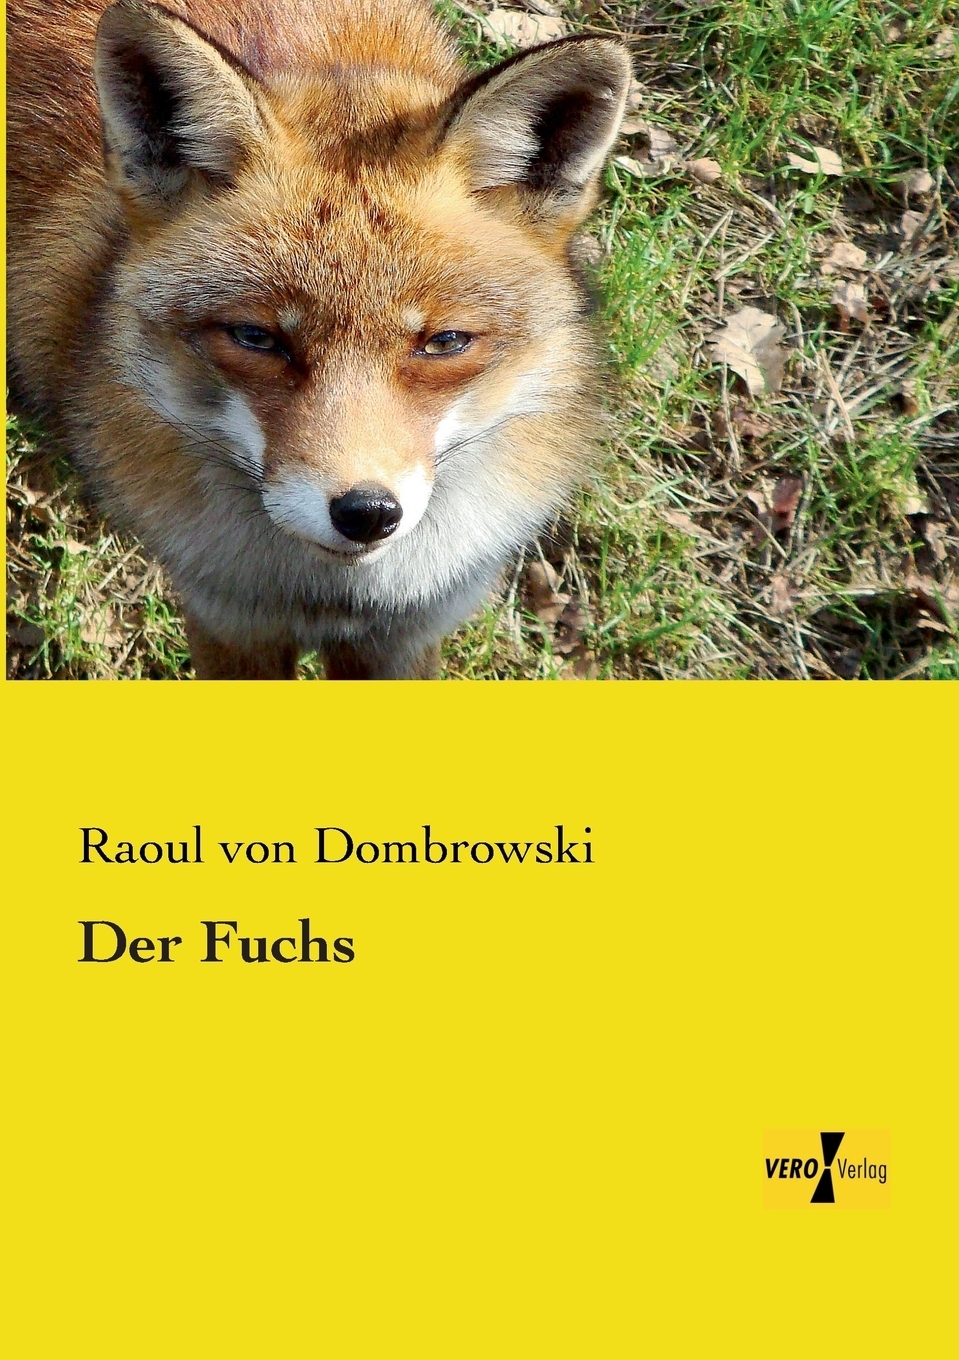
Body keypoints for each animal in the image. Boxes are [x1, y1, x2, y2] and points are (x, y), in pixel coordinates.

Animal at [7, 0, 631, 679]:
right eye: (255, 337)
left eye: (445, 343)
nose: (366, 514)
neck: (329, 597)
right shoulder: (229, 619)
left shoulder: (406, 632)